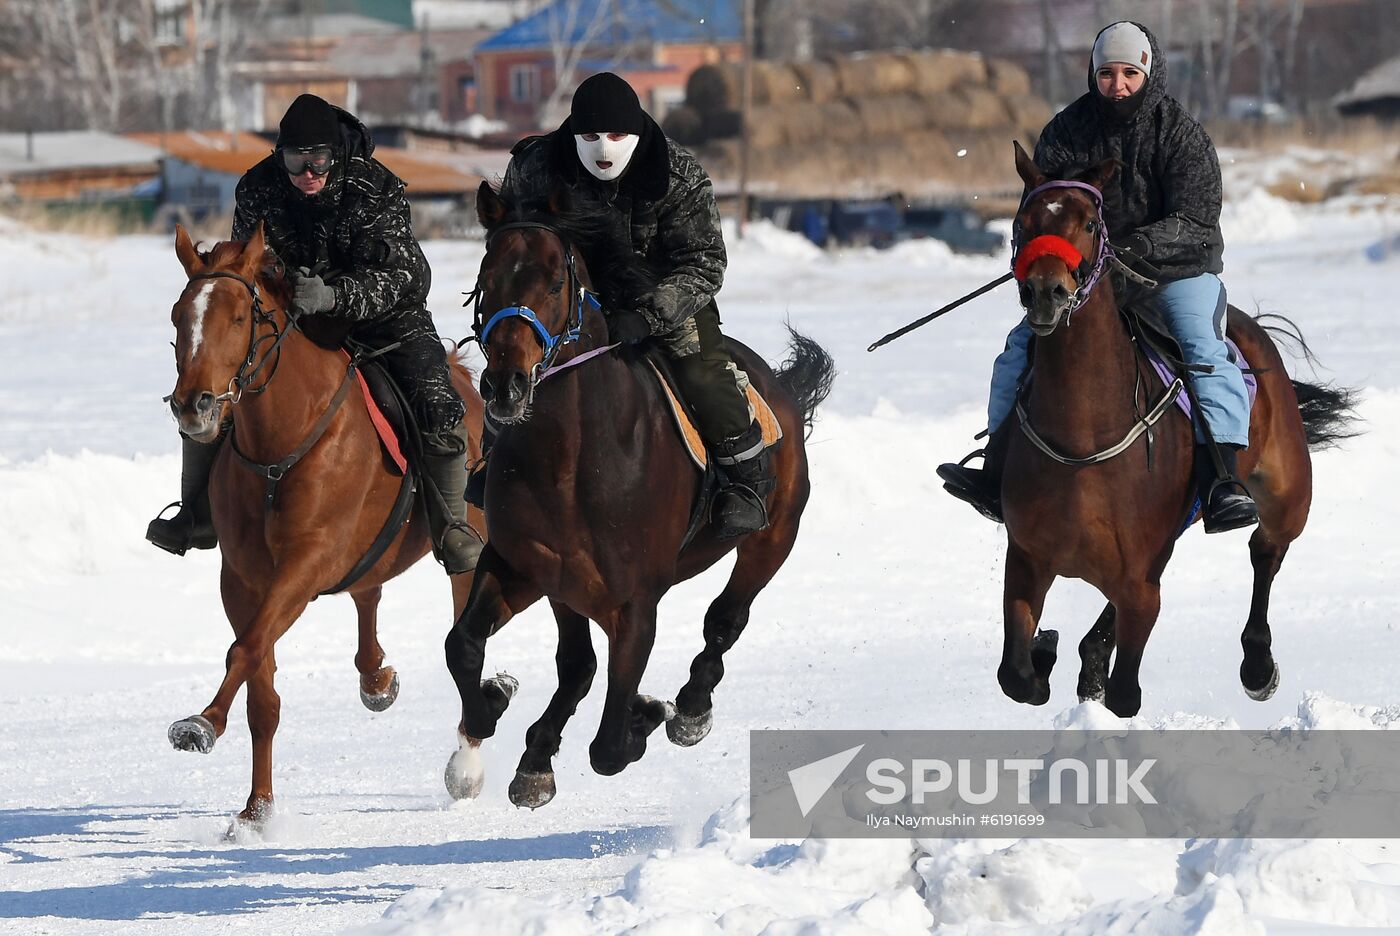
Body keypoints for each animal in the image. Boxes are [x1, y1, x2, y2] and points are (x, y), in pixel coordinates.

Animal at [162, 223, 486, 827]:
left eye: (238, 318)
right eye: (177, 316)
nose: (193, 406)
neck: (279, 448)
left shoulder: (306, 564)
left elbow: (244, 649)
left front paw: (202, 723)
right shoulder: (242, 579)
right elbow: (260, 684)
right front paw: (257, 809)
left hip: (467, 546)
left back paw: (467, 766)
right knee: (368, 593)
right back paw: (375, 677)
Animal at [440, 183, 835, 808]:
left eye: (555, 282)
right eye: (486, 278)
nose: (505, 386)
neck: (572, 462)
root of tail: (780, 387)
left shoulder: (635, 605)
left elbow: (607, 748)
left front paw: (645, 714)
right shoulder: (530, 569)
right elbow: (471, 647)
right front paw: (499, 713)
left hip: (774, 536)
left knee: (726, 618)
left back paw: (688, 708)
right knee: (578, 666)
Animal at [998, 141, 1357, 718]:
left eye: (1091, 223)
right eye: (1023, 221)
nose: (1045, 292)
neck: (1083, 436)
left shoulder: (1139, 583)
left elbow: (1126, 694)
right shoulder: (1027, 561)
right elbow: (1017, 677)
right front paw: (1046, 651)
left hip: (1287, 494)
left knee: (1266, 550)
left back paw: (1257, 664)